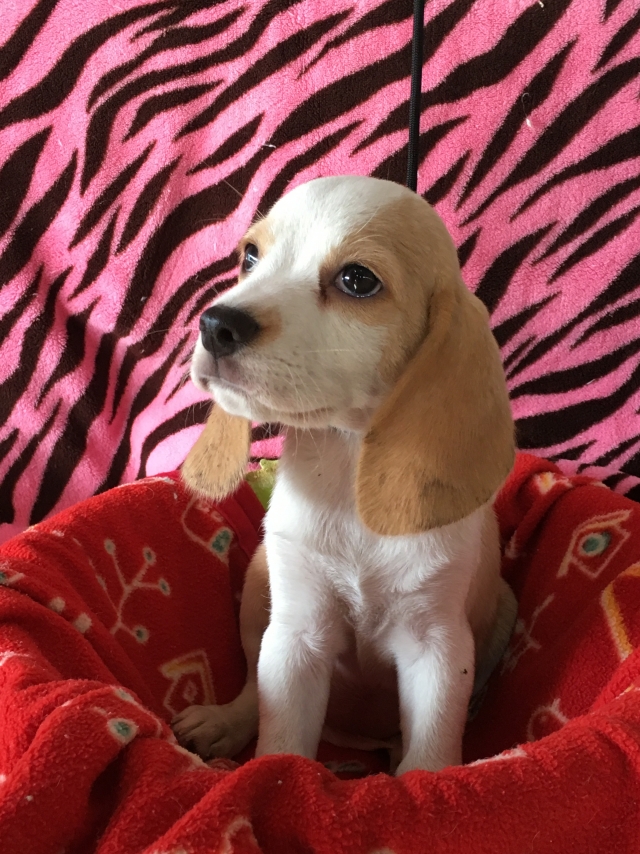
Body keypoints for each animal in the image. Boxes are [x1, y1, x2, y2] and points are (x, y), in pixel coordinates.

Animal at [172, 175, 516, 774]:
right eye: (250, 257)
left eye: (357, 280)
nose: (215, 323)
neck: (347, 465)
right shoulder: (297, 636)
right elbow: (281, 739)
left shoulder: (437, 649)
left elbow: (430, 753)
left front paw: (426, 785)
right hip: (259, 586)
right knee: (252, 691)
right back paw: (224, 721)